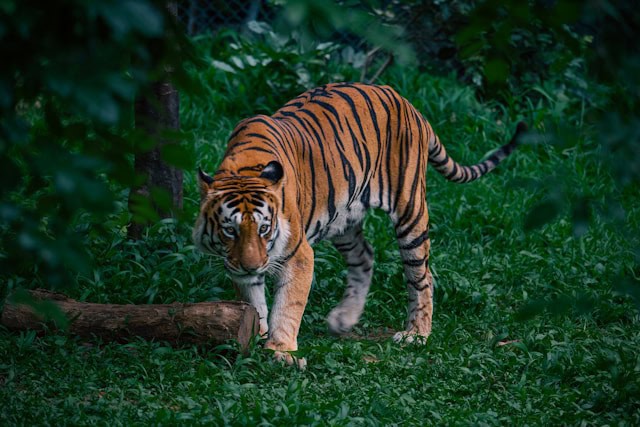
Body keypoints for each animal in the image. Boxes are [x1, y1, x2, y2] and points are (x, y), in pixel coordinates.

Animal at [193, 82, 526, 367]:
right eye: (230, 230)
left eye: (264, 229)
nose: (252, 265)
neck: (244, 169)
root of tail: (407, 102)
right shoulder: (238, 264)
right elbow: (254, 300)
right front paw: (258, 336)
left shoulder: (298, 255)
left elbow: (287, 307)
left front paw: (281, 351)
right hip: (343, 220)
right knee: (365, 257)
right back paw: (344, 319)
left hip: (410, 209)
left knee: (422, 276)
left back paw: (417, 334)